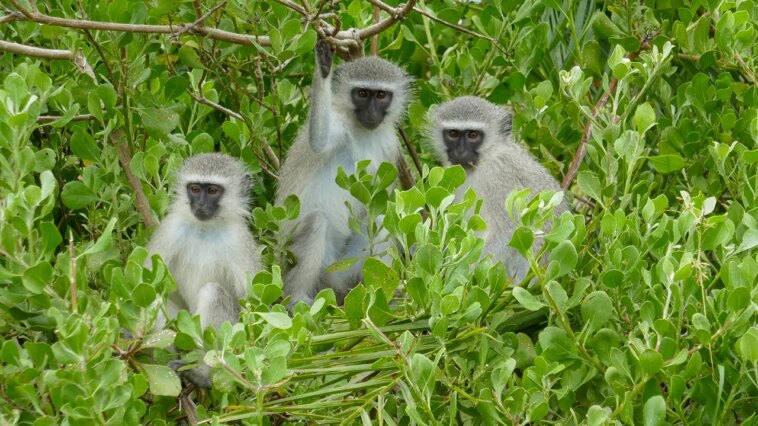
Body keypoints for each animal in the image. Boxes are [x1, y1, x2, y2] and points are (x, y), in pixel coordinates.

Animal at [147, 152, 262, 387]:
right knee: (157, 297)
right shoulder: (170, 228)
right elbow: (143, 281)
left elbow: (252, 303)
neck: (204, 229)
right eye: (194, 189)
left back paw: (202, 374)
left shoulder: (240, 239)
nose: (199, 205)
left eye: (212, 191)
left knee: (214, 292)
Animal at [276, 39, 411, 306]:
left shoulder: (391, 147)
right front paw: (323, 67)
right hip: (299, 261)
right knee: (316, 223)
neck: (364, 131)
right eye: (362, 94)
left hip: (344, 268)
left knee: (380, 219)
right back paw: (296, 299)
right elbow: (319, 141)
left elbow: (379, 202)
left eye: (381, 95)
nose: (371, 113)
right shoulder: (338, 124)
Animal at [428, 96, 569, 283]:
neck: (486, 159)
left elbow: (509, 230)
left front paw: (459, 270)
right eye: (453, 134)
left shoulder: (500, 176)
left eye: (473, 135)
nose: (460, 151)